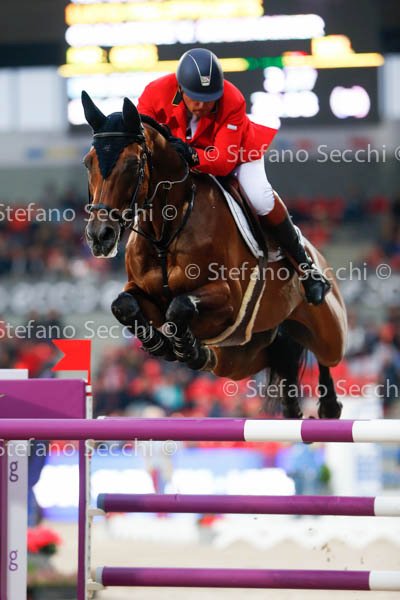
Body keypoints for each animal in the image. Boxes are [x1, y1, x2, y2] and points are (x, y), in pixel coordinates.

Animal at [81, 91, 347, 419]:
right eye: (88, 163)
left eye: (132, 164)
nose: (99, 236)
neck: (165, 232)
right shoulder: (142, 292)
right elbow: (124, 304)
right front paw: (162, 344)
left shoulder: (229, 300)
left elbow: (181, 306)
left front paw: (184, 347)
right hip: (243, 356)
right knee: (281, 356)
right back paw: (289, 405)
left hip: (327, 329)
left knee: (328, 356)